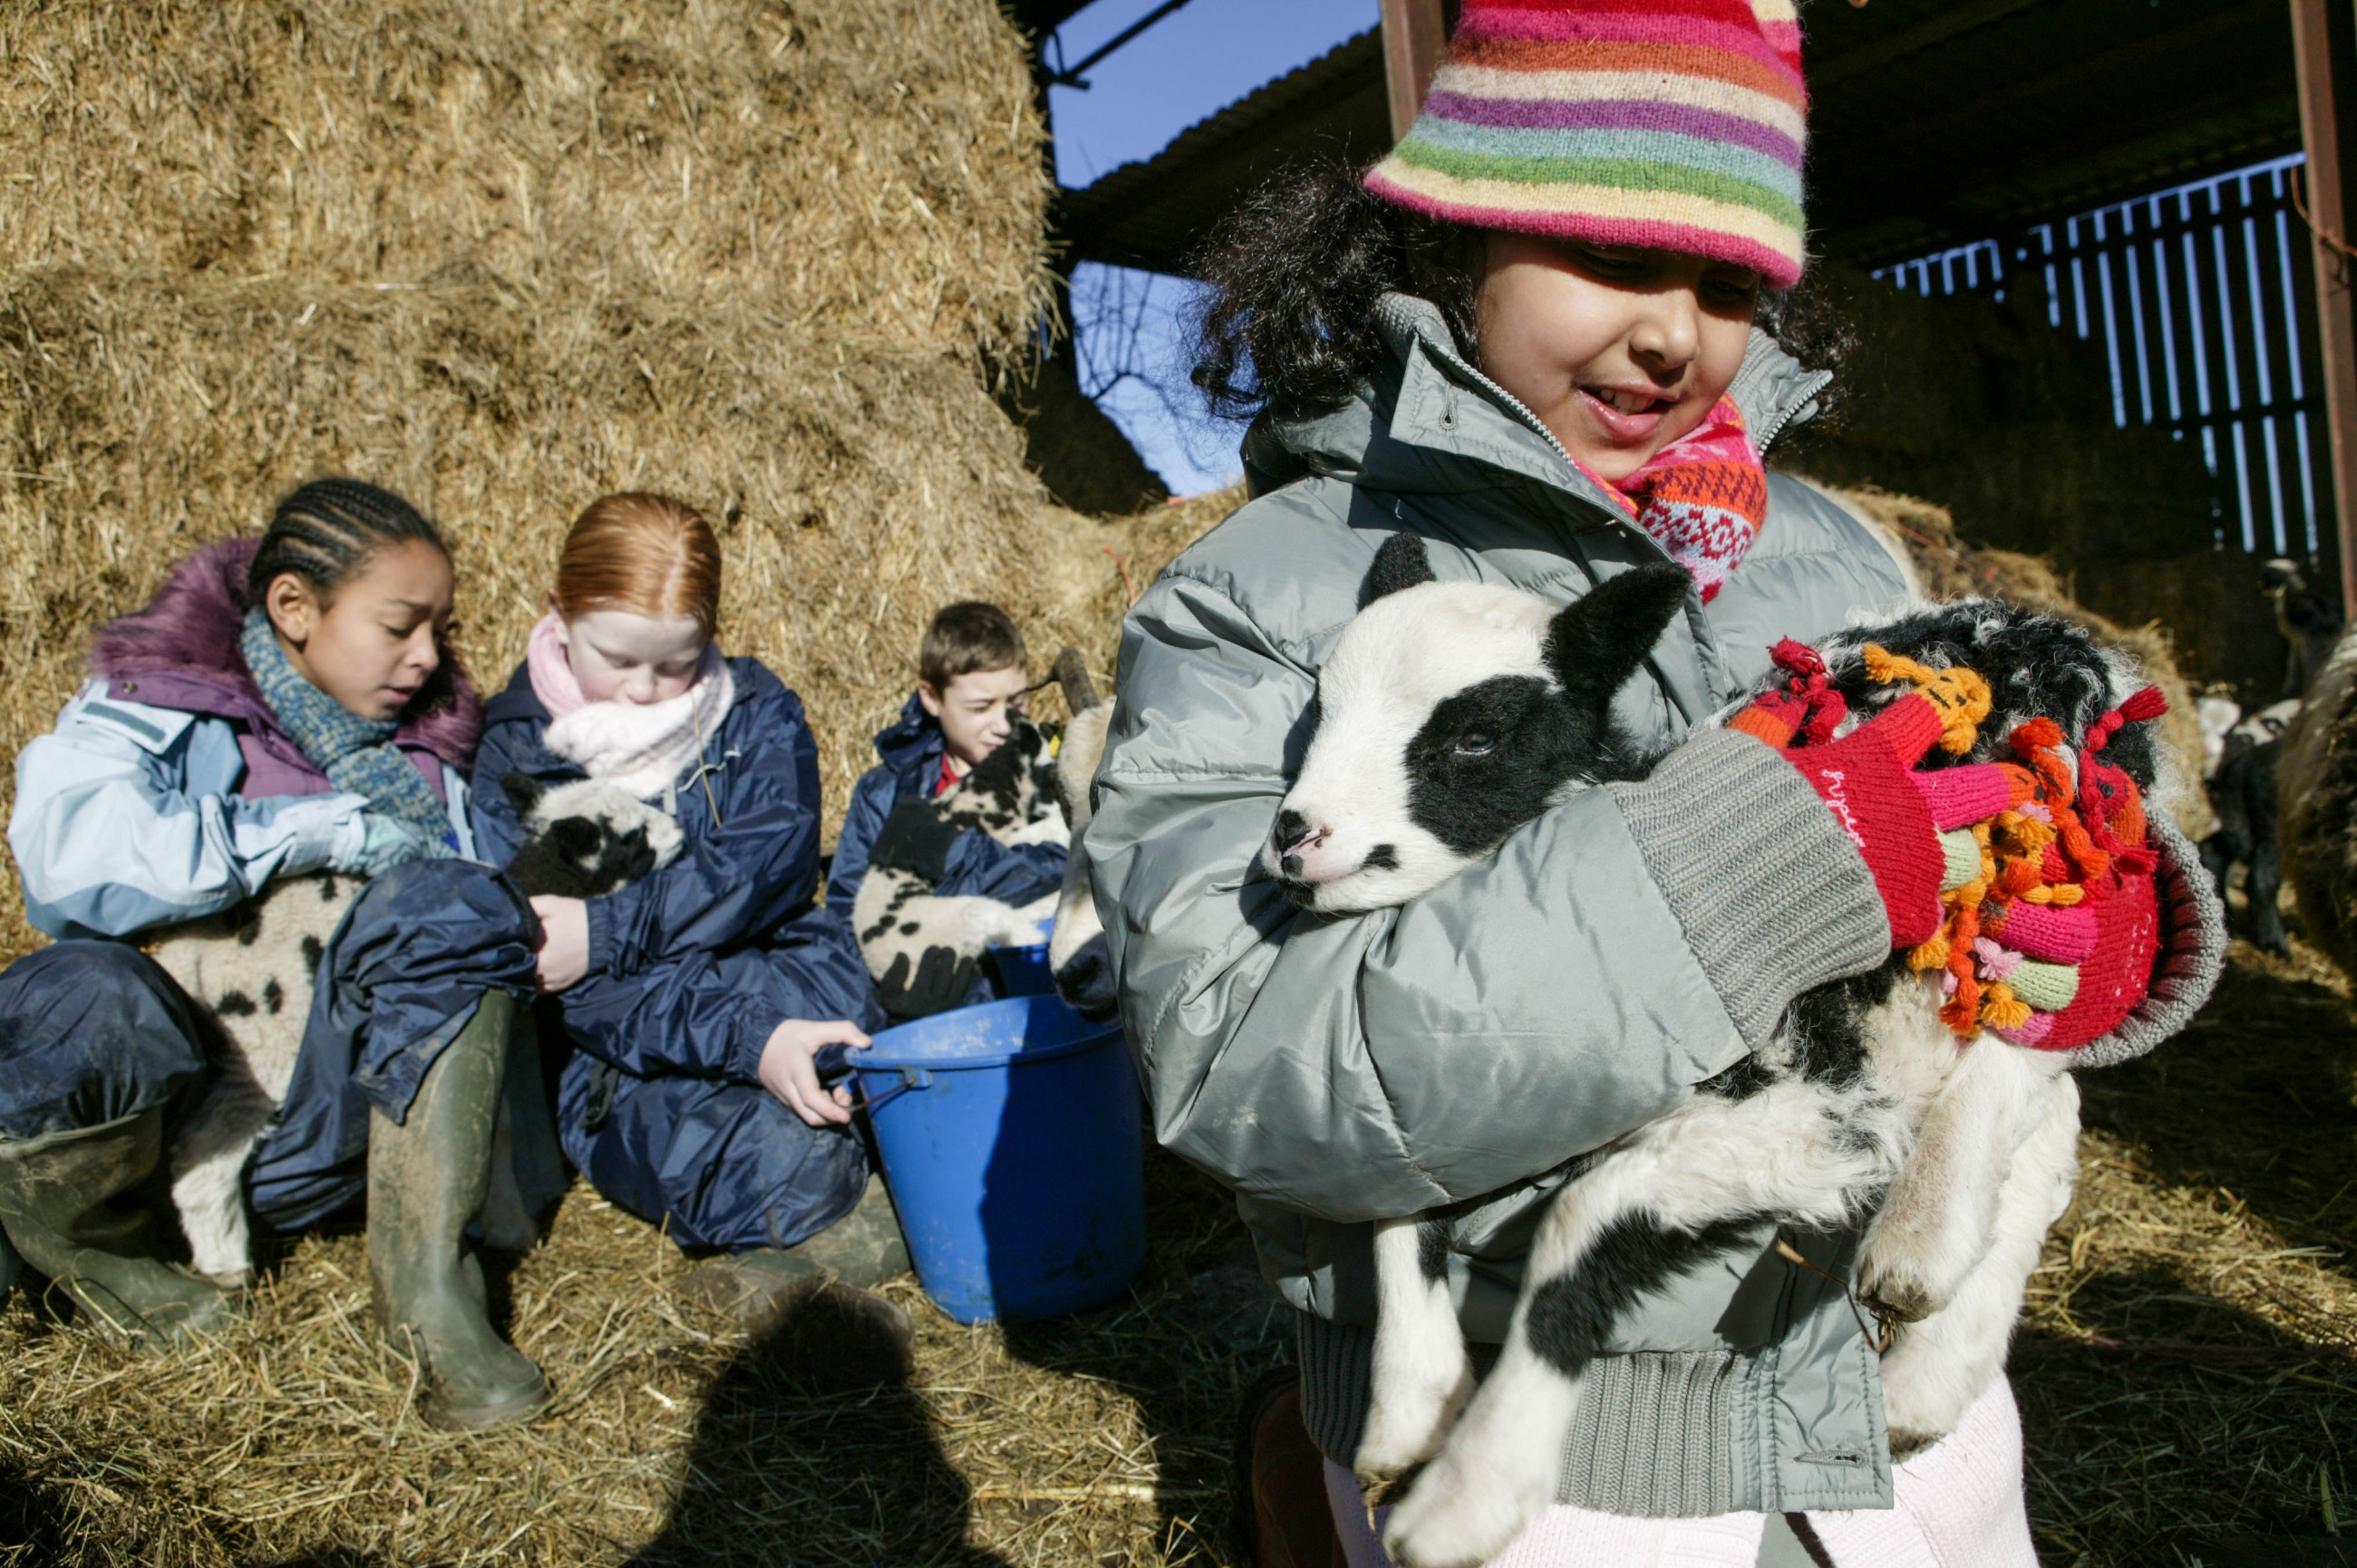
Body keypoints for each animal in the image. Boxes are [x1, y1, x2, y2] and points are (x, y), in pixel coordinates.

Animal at [154, 778, 684, 1282]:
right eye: (632, 835)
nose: (680, 833)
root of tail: (195, 954)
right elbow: (498, 1132)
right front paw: (510, 1227)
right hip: (265, 1039)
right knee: (207, 1147)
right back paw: (226, 1267)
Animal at [1282, 532, 2149, 1555]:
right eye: (1320, 707)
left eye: (1476, 736)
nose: (1294, 839)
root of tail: (2048, 632)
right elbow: (1395, 1205)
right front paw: (1406, 1414)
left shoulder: (1807, 1095)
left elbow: (1583, 1214)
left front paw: (1469, 1494)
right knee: (2047, 1115)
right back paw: (1922, 1382)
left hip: (2056, 868)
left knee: (2036, 1040)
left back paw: (1921, 1239)